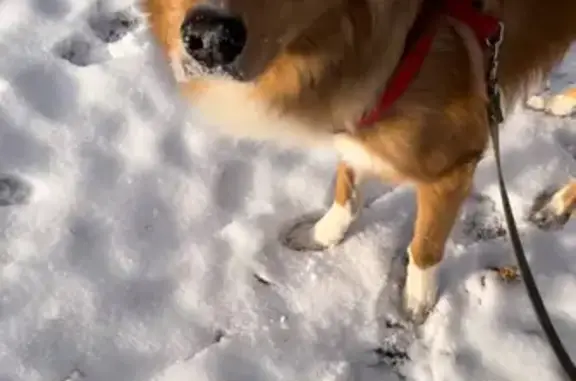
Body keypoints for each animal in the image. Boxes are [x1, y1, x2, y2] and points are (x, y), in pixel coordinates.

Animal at [142, 0, 576, 322]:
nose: (210, 39)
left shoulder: (452, 168)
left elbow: (425, 245)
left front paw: (418, 301)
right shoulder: (355, 121)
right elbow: (346, 193)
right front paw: (321, 235)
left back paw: (558, 204)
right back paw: (560, 103)